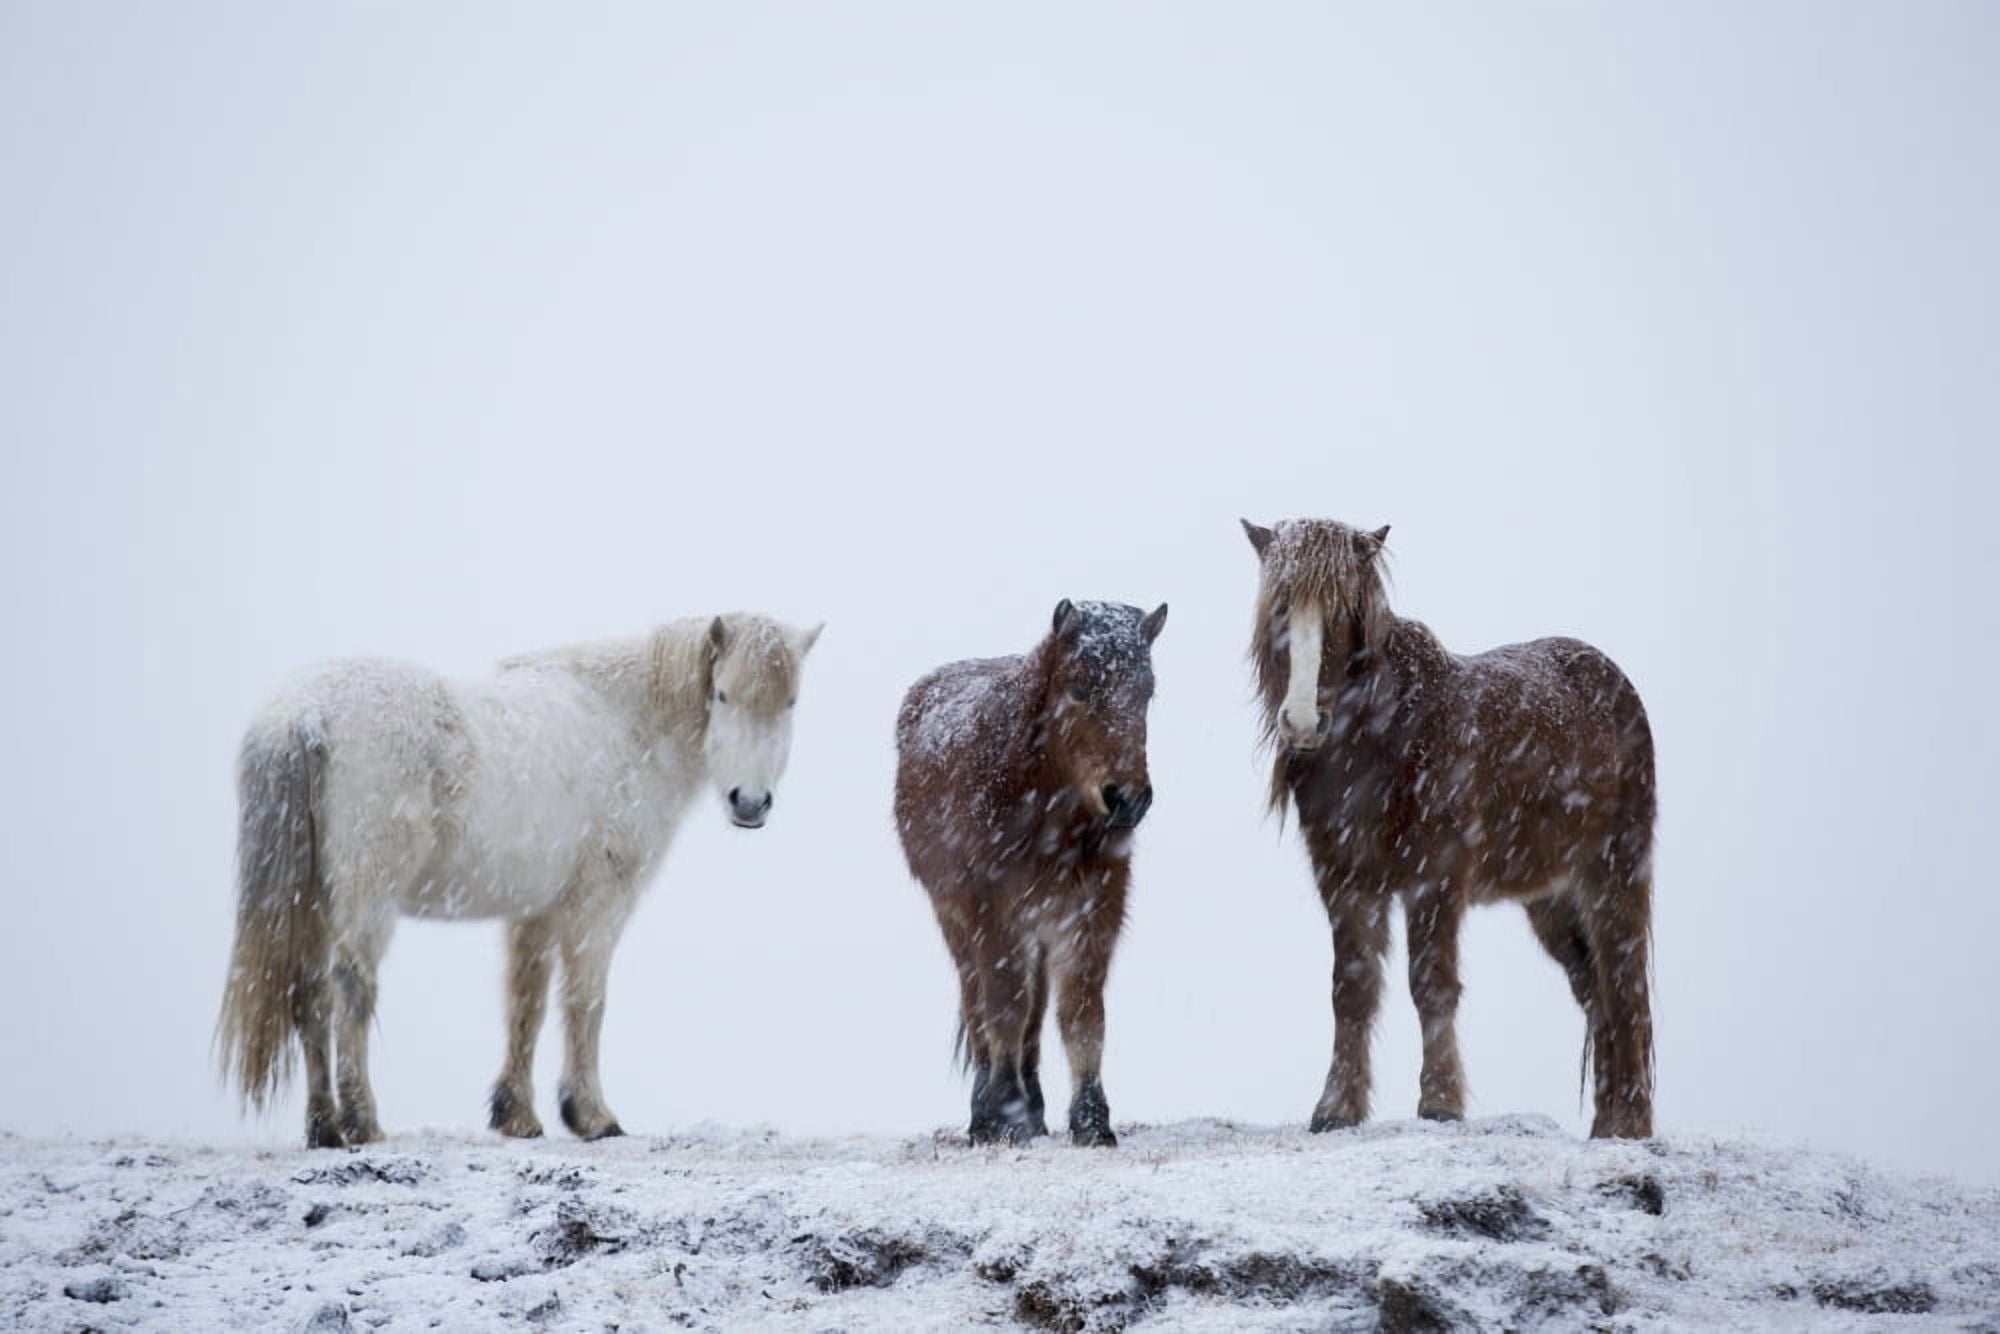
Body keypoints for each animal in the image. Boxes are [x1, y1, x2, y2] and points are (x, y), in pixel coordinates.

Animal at [216, 613, 821, 1148]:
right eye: (722, 694)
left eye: (790, 702)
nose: (750, 803)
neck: (624, 723)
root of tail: (302, 714)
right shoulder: (597, 902)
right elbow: (584, 1000)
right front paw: (591, 1115)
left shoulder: (534, 908)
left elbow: (525, 1000)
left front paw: (518, 1115)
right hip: (365, 899)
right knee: (350, 988)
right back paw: (362, 1120)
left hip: (312, 902)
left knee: (308, 992)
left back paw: (324, 1126)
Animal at [896, 598, 1168, 1147]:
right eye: (1078, 687)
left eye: (1148, 691)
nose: (1127, 798)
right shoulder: (992, 912)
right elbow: (1004, 1007)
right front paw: (1002, 1114)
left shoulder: (1093, 910)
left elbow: (1081, 1015)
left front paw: (1091, 1121)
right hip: (958, 922)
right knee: (978, 1002)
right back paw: (990, 1108)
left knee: (1036, 1013)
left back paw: (1034, 1108)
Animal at [1242, 518, 1655, 1139]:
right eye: (1281, 608)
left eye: (1341, 613)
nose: (1302, 722)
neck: (1383, 739)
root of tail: (1613, 678)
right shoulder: (1345, 882)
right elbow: (1351, 990)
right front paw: (1336, 1108)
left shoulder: (1432, 878)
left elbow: (1431, 984)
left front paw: (1439, 1102)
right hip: (1551, 898)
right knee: (1594, 992)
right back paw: (1606, 1126)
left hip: (1614, 874)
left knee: (1624, 987)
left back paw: (1631, 1126)